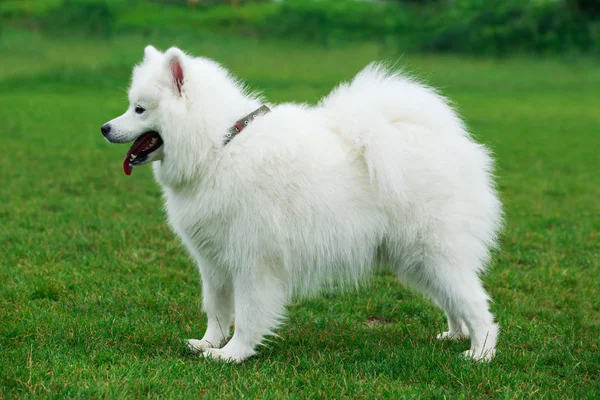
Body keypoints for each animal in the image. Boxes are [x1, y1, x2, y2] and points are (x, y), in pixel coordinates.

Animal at [102, 46, 502, 362]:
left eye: (139, 109)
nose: (105, 128)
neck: (219, 147)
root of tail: (449, 142)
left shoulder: (253, 260)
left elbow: (247, 315)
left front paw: (232, 355)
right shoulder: (213, 262)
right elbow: (216, 310)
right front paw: (207, 345)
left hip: (432, 252)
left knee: (475, 303)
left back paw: (479, 352)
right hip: (415, 260)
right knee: (453, 300)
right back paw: (455, 335)